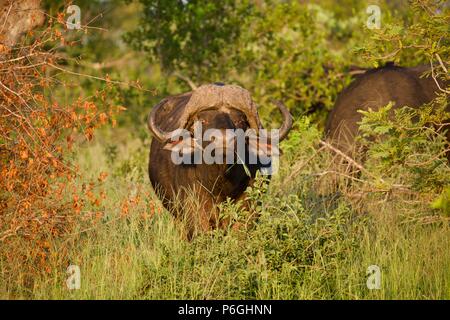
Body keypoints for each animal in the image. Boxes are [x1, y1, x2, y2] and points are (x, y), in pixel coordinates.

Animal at [147, 83, 292, 238]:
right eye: (203, 120)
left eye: (240, 121)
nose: (224, 140)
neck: (220, 184)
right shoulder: (193, 206)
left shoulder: (249, 206)